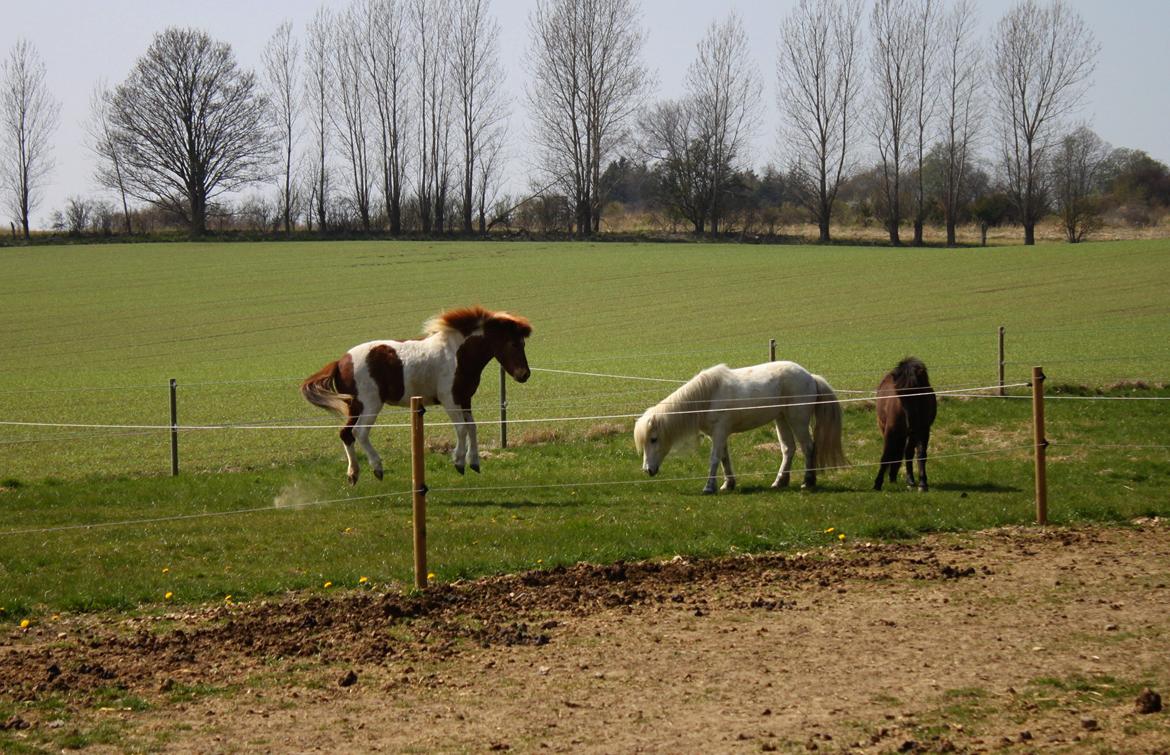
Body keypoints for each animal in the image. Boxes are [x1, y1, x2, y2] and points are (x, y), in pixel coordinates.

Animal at [304, 304, 535, 482]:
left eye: (523, 344)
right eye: (514, 343)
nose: (524, 375)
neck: (457, 354)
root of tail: (341, 361)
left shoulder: (464, 399)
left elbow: (472, 427)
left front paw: (475, 462)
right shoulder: (450, 400)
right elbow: (461, 428)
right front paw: (459, 462)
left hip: (354, 406)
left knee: (345, 434)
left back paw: (353, 474)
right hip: (370, 405)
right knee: (359, 433)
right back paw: (377, 468)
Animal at [636, 360, 847, 491]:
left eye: (653, 439)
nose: (647, 470)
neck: (707, 396)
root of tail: (810, 376)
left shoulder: (720, 432)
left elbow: (714, 459)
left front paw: (709, 487)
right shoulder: (718, 435)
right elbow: (724, 458)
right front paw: (728, 484)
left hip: (798, 420)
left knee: (808, 447)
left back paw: (808, 481)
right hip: (781, 419)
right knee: (789, 448)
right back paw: (780, 482)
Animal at [875, 355, 935, 491]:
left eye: (918, 393)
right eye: (899, 395)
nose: (910, 423)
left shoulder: (923, 430)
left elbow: (921, 454)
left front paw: (923, 483)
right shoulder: (890, 431)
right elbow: (886, 456)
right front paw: (877, 483)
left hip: (911, 434)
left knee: (907, 452)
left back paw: (909, 480)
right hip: (887, 428)